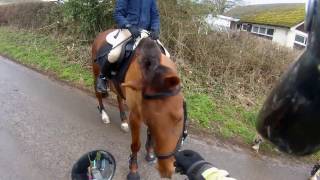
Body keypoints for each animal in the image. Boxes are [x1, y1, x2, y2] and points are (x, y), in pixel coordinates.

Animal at [91, 29, 186, 179]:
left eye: (179, 119)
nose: (166, 170)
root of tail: (103, 33)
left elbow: (151, 137)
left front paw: (150, 154)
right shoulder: (136, 116)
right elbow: (136, 144)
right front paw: (133, 170)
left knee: (119, 97)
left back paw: (123, 121)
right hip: (96, 72)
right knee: (98, 94)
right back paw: (104, 115)